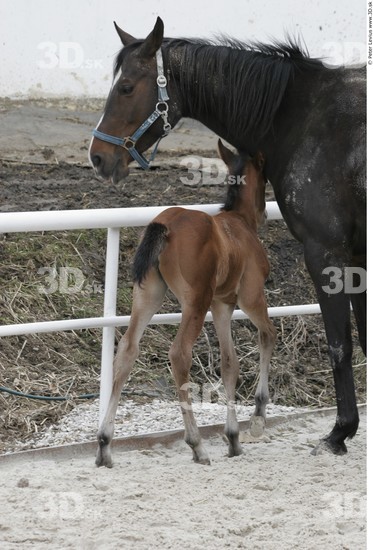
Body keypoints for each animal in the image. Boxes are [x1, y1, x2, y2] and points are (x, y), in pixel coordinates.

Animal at [95, 140, 276, 468]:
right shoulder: (249, 297)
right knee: (180, 354)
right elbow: (266, 336)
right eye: (265, 179)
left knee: (127, 349)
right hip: (196, 301)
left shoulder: (222, 304)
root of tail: (164, 225)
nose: (266, 213)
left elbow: (229, 363)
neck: (240, 223)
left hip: (149, 294)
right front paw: (256, 418)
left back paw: (104, 444)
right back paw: (196, 444)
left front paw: (233, 438)